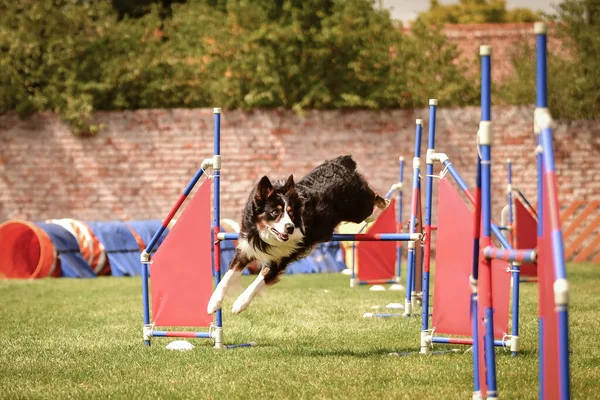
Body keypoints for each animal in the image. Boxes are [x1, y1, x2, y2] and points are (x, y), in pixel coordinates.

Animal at [209, 155, 392, 314]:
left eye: (290, 213)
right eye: (275, 212)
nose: (290, 227)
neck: (266, 235)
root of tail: (341, 162)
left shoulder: (277, 262)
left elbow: (256, 283)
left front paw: (240, 303)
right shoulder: (246, 249)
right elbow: (226, 277)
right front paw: (213, 302)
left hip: (357, 208)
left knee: (371, 198)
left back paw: (382, 205)